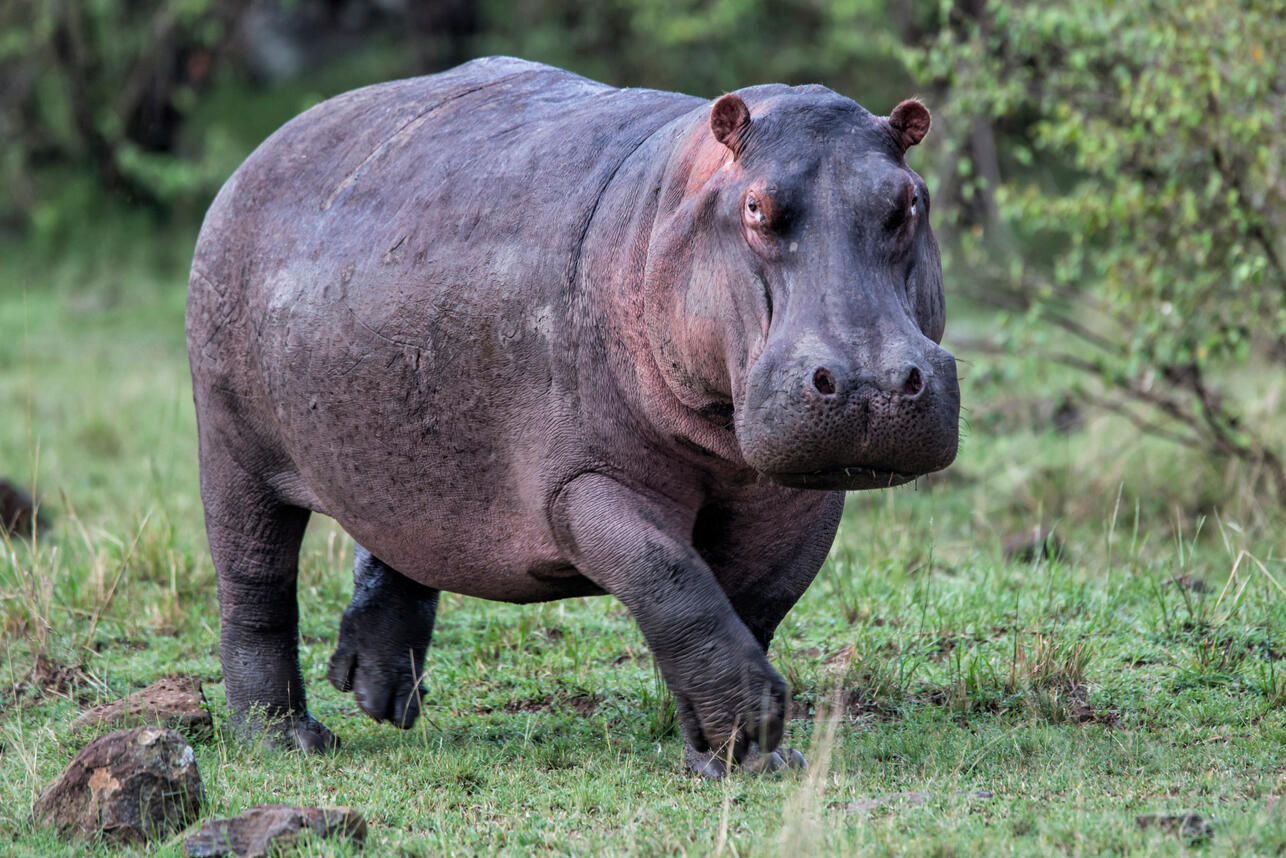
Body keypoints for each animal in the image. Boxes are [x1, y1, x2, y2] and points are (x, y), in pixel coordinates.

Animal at [187, 56, 956, 776]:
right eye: (758, 208)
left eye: (910, 202)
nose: (870, 384)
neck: (671, 205)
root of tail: (262, 151)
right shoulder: (582, 483)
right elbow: (675, 583)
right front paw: (751, 732)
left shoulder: (799, 497)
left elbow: (749, 605)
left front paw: (737, 751)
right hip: (232, 445)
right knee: (255, 586)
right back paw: (288, 741)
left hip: (406, 439)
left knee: (402, 534)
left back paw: (380, 696)